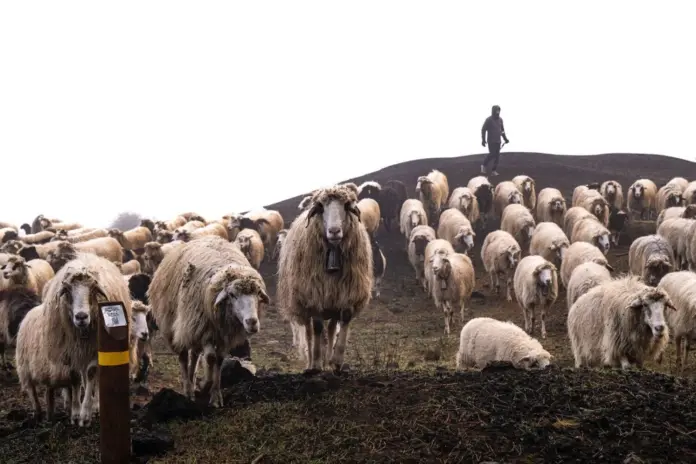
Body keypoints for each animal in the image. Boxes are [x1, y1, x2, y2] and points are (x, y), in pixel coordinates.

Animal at [16, 252, 132, 425]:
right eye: (68, 290)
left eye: (93, 290)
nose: (81, 317)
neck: (82, 331)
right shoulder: (69, 351)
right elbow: (75, 377)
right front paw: (75, 412)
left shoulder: (94, 349)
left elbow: (91, 374)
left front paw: (86, 413)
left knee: (95, 377)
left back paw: (96, 405)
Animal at [149, 236, 268, 406]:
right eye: (232, 295)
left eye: (257, 293)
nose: (252, 322)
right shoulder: (206, 331)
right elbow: (211, 358)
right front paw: (205, 385)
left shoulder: (223, 335)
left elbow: (219, 359)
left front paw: (216, 395)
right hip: (178, 326)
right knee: (183, 356)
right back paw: (188, 390)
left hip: (194, 328)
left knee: (194, 355)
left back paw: (192, 380)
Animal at [277, 184, 373, 373]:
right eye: (320, 207)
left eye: (347, 206)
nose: (334, 231)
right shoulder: (314, 294)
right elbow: (317, 327)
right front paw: (316, 362)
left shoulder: (346, 292)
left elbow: (343, 321)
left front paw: (336, 360)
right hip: (304, 304)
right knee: (310, 332)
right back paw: (311, 361)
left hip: (333, 299)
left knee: (331, 328)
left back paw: (328, 357)